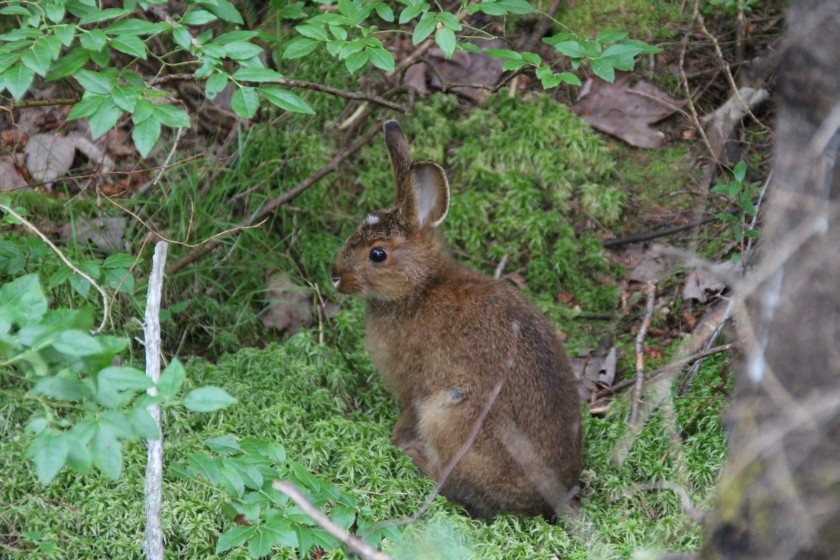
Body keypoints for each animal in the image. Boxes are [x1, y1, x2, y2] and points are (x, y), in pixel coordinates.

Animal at [330, 120, 584, 520]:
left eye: (378, 254)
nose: (335, 275)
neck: (420, 288)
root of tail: (542, 502)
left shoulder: (411, 386)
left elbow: (406, 411)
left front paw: (395, 438)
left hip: (449, 416)